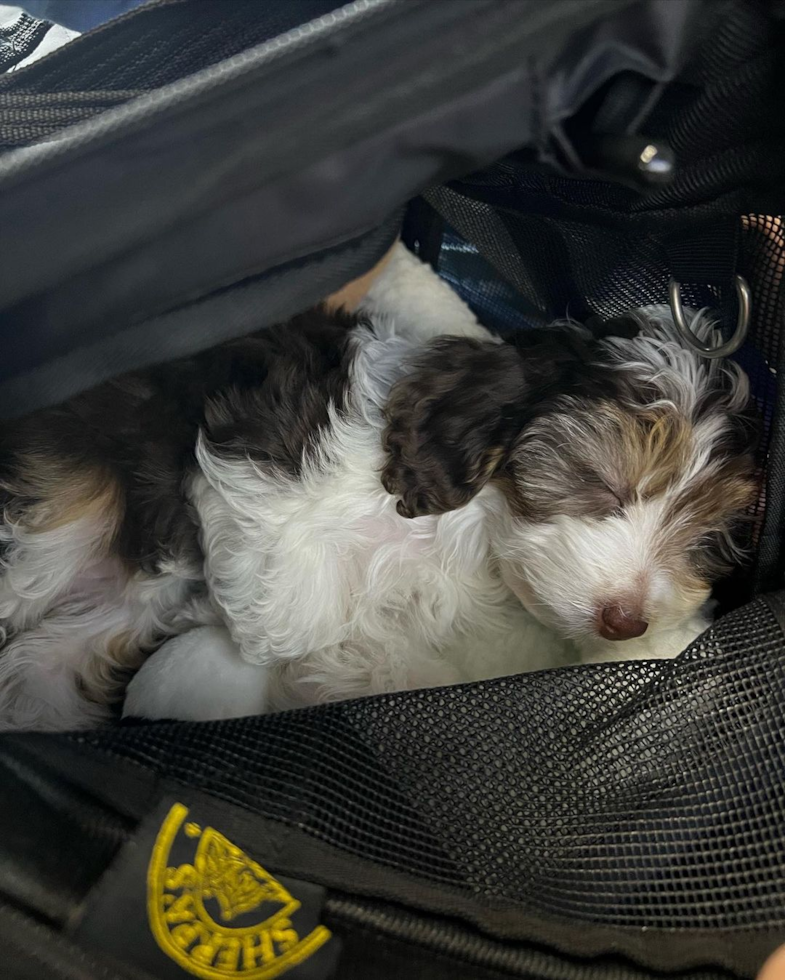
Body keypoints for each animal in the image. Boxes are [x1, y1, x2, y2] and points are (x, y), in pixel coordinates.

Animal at [0, 245, 752, 728]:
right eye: (600, 480)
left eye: (702, 538)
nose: (628, 621)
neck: (461, 524)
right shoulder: (258, 446)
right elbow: (290, 604)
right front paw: (299, 645)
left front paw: (347, 669)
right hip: (69, 502)